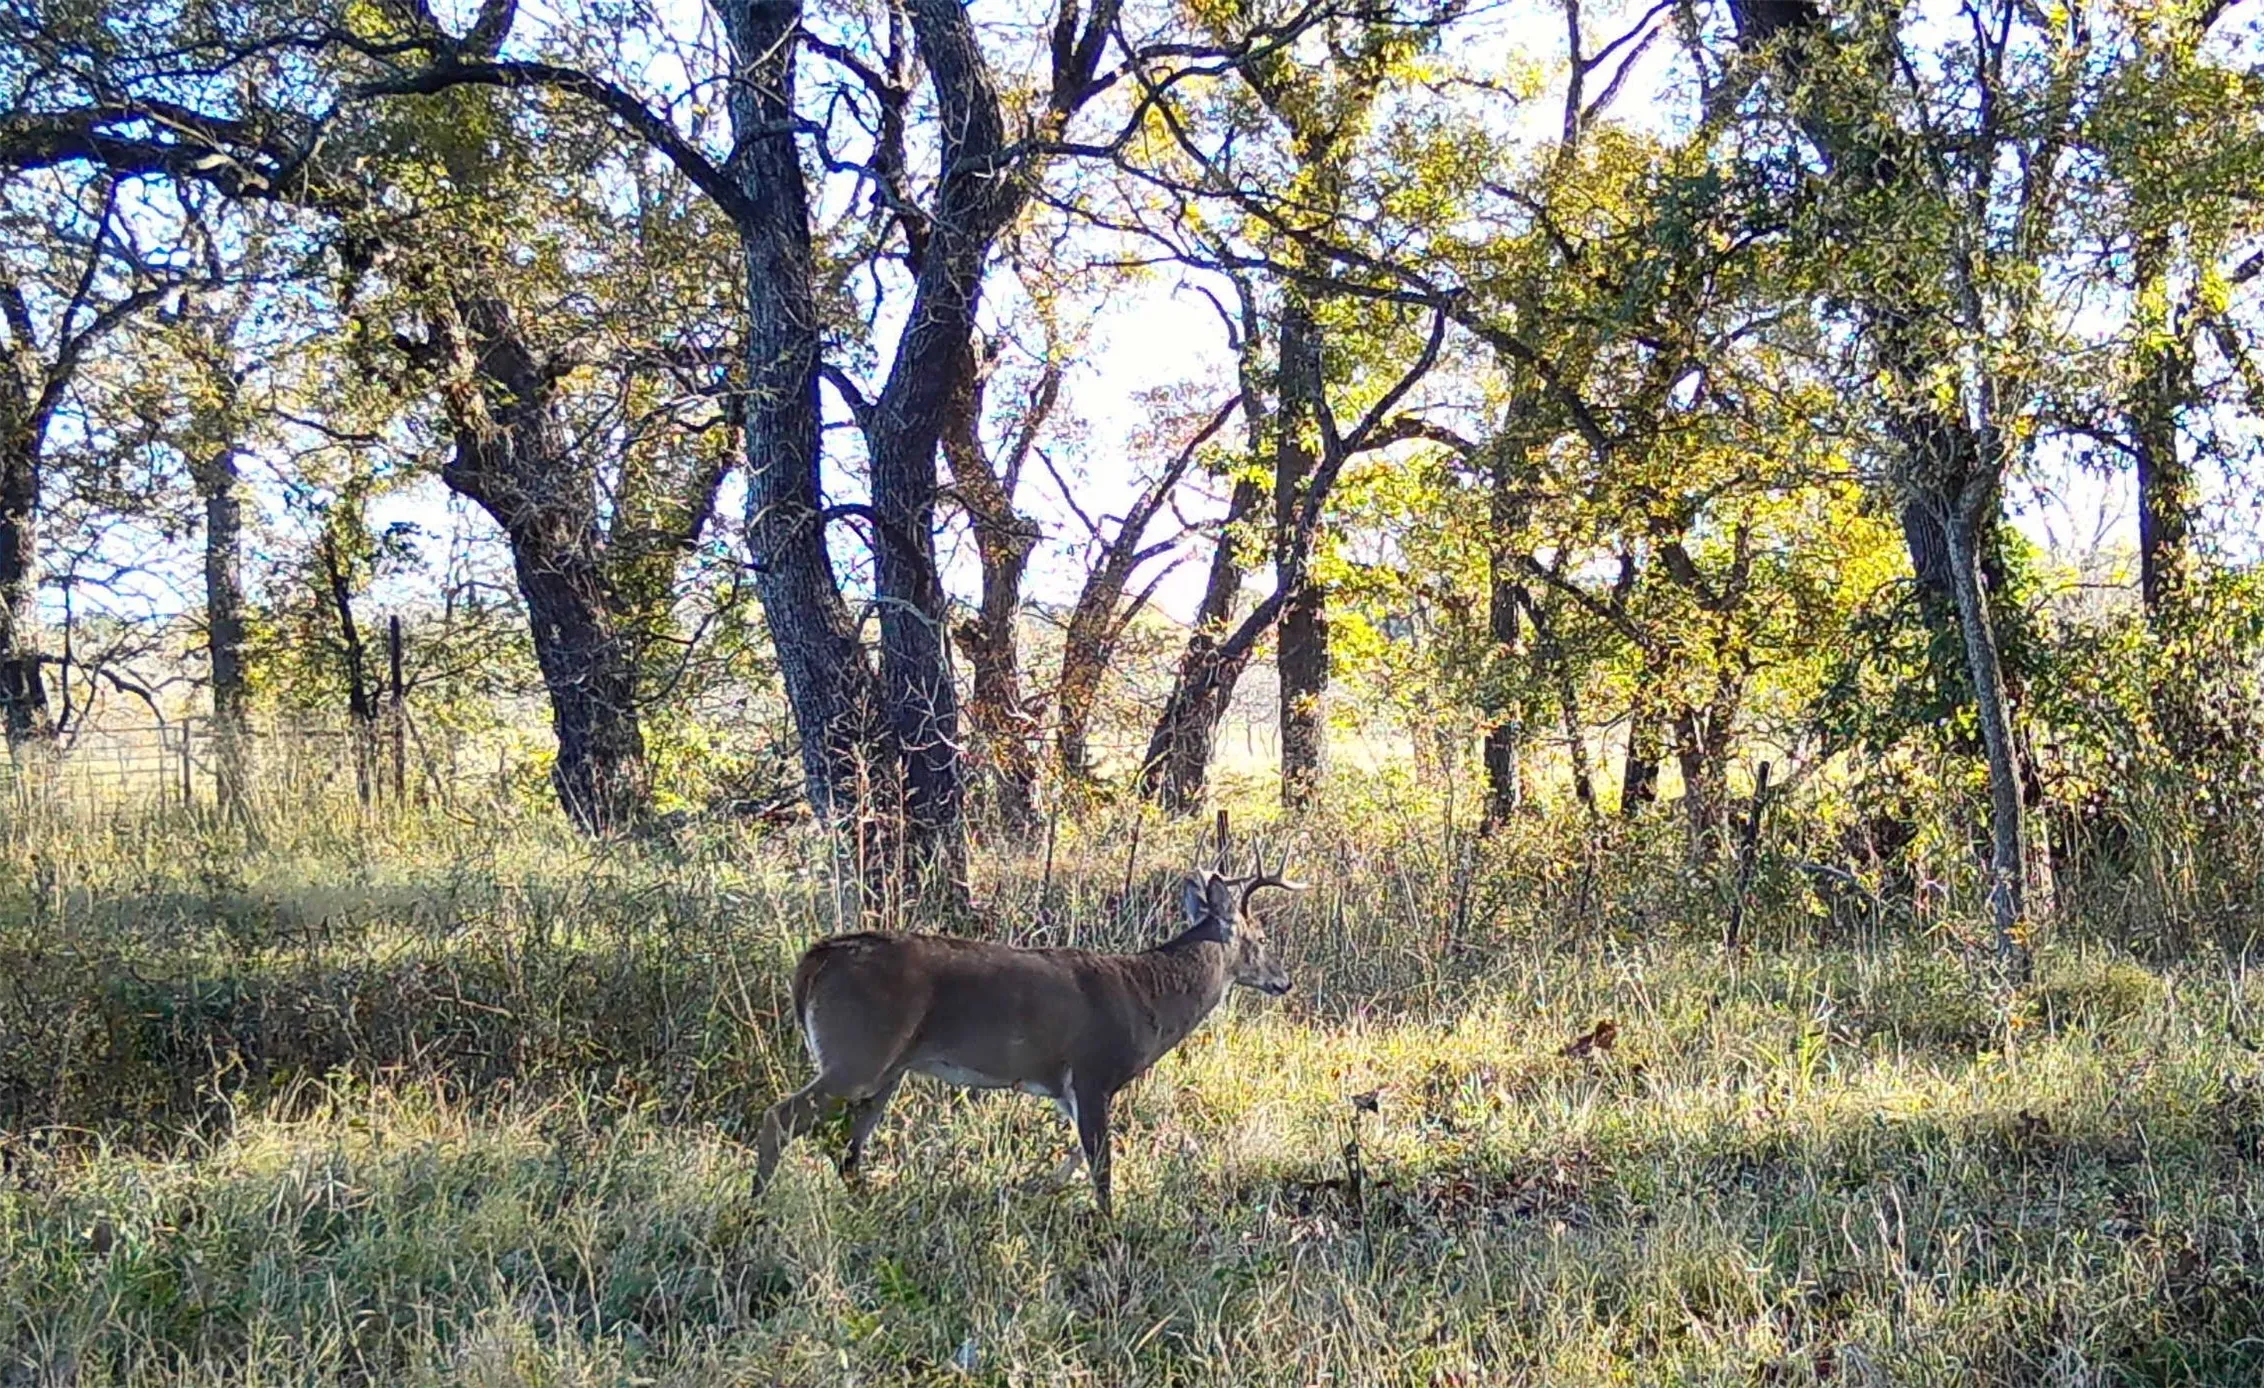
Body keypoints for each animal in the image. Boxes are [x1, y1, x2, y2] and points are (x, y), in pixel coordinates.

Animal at [750, 849, 1304, 1215]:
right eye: (1259, 938)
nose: (1284, 980)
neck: (1143, 996)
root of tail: (815, 959)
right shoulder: (1092, 1070)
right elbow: (1102, 1163)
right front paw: (1109, 1224)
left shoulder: (1064, 1087)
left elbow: (1079, 1155)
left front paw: (1042, 1190)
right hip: (857, 1051)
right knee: (780, 1117)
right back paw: (755, 1211)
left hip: (888, 1069)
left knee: (849, 1148)